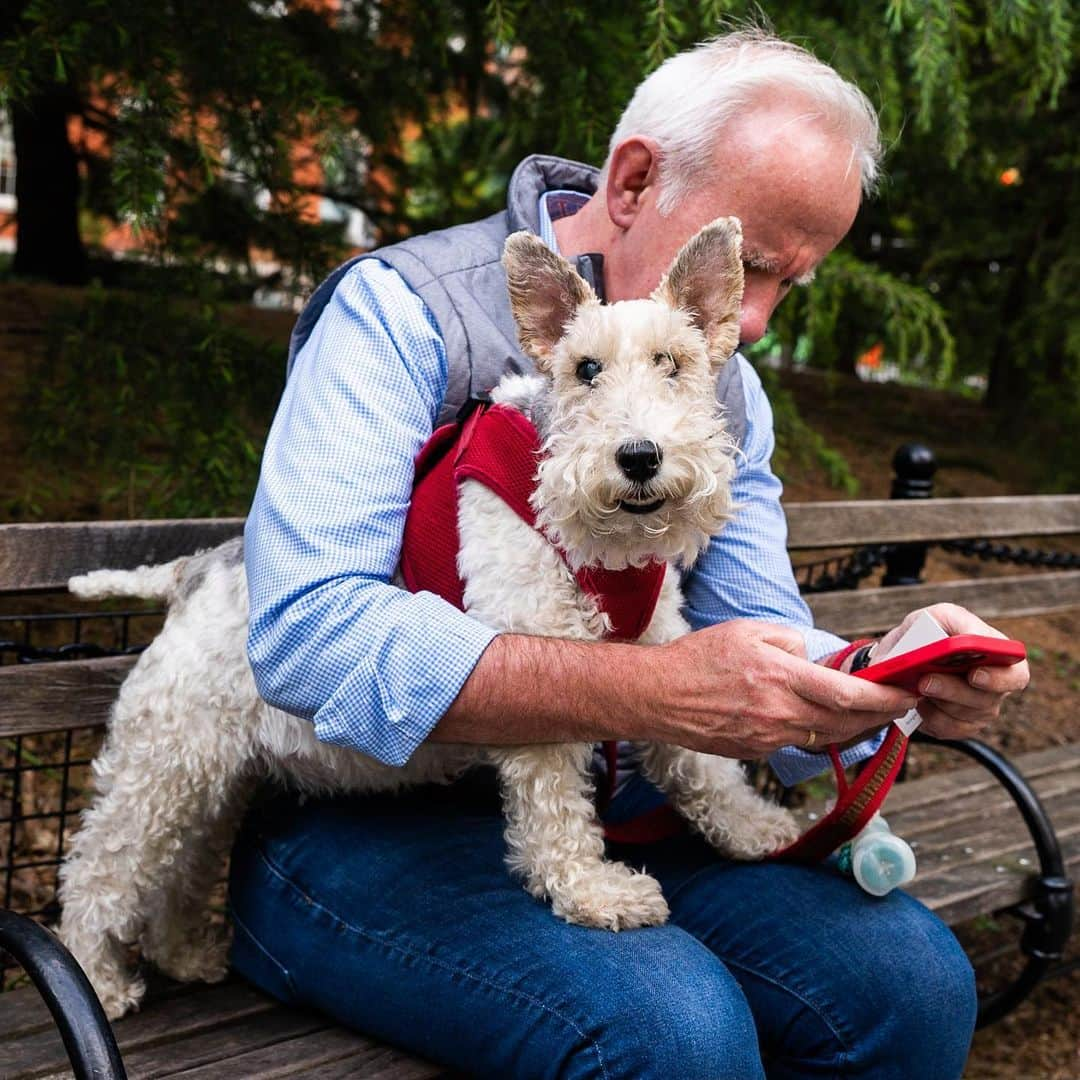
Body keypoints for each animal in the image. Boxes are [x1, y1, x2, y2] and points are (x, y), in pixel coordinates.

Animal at [61, 219, 803, 1019]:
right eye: (586, 369)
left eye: (673, 363)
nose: (638, 457)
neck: (598, 549)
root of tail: (194, 571)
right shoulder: (541, 674)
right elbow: (555, 811)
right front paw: (595, 893)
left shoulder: (662, 644)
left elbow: (700, 764)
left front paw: (757, 828)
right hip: (162, 764)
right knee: (101, 870)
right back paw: (98, 980)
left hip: (214, 772)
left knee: (184, 865)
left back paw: (187, 953)